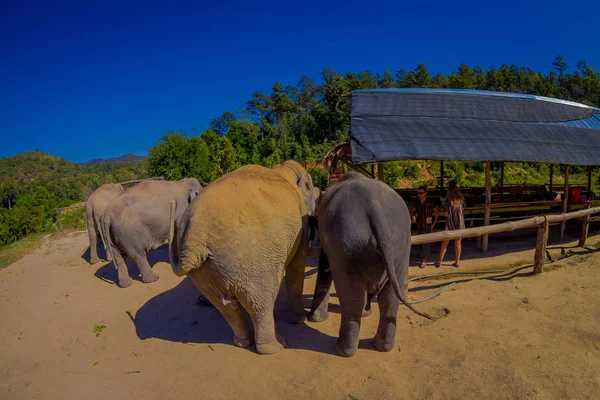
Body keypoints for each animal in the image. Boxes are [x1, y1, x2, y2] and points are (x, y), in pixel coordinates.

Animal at [168, 161, 318, 354]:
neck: (282, 169)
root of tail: (195, 237)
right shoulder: (302, 225)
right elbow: (297, 267)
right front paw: (299, 319)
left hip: (202, 273)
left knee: (225, 307)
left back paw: (243, 342)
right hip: (251, 261)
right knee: (260, 303)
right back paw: (276, 346)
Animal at [310, 171, 432, 356]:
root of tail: (376, 212)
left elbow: (325, 267)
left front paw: (315, 319)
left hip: (348, 245)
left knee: (351, 297)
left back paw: (343, 350)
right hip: (399, 243)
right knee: (390, 297)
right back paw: (381, 346)